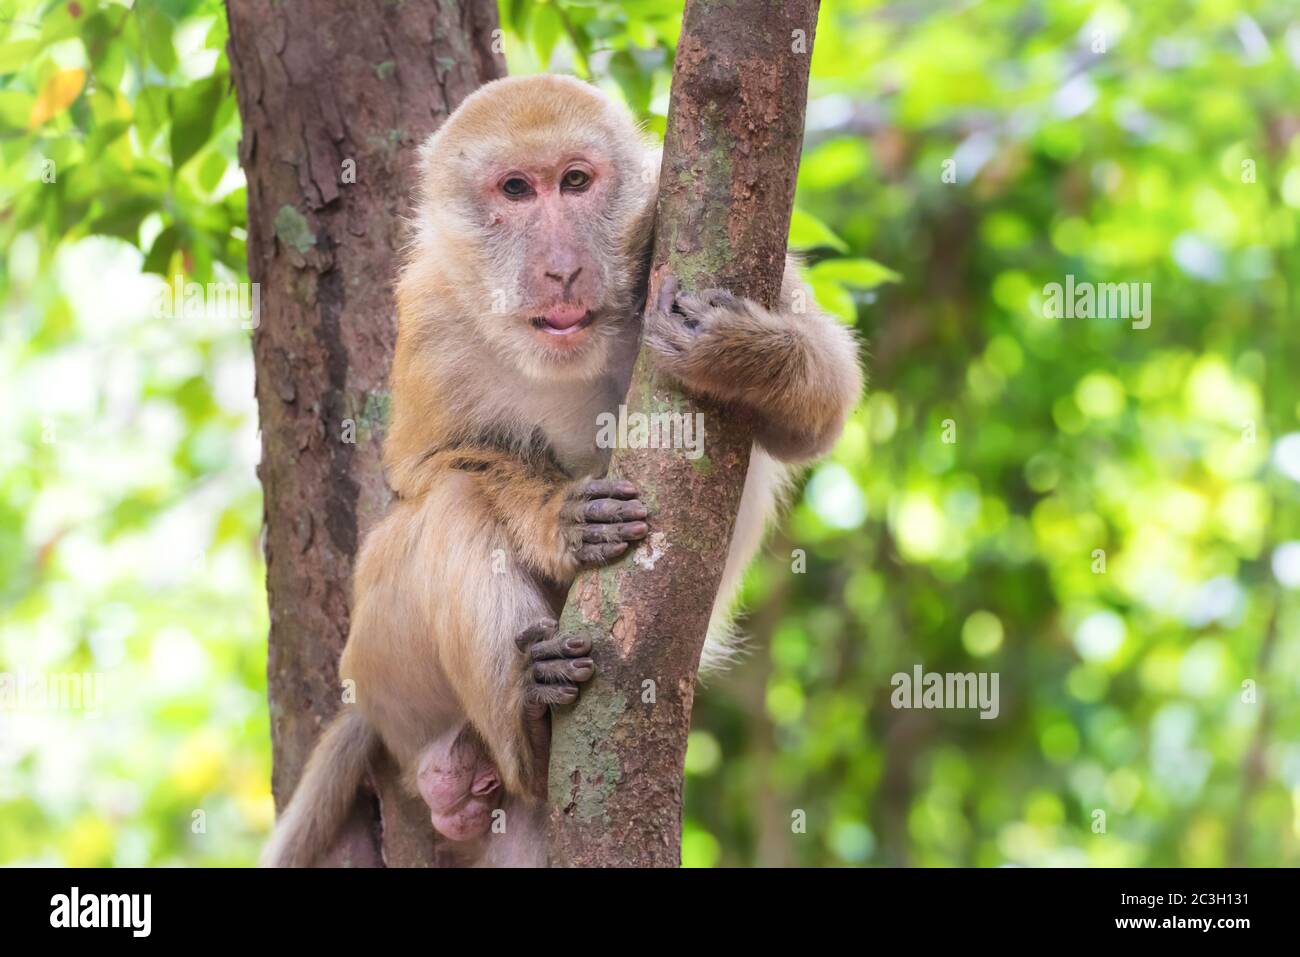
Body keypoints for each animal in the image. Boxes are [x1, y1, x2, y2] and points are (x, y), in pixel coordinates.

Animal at [262, 74, 863, 868]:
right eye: (517, 189)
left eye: (575, 182)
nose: (562, 268)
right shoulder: (429, 305)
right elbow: (426, 466)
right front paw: (561, 520)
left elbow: (820, 415)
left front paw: (735, 352)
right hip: (380, 655)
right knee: (452, 503)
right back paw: (522, 723)